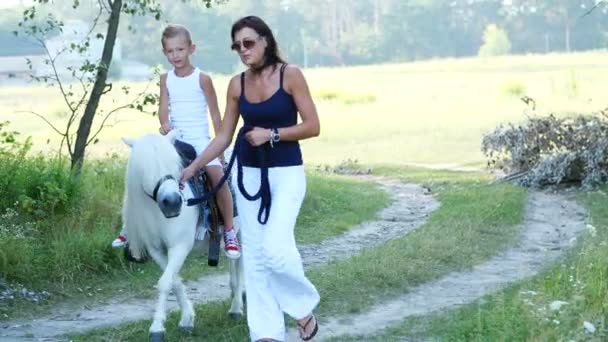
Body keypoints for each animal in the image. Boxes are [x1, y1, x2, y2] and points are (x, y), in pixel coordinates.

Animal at [121, 130, 245, 340]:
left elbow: (165, 283)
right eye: (145, 168)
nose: (172, 202)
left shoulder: (180, 246)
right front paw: (187, 319)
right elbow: (174, 281)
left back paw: (237, 307)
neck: (157, 213)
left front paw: (156, 328)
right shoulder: (156, 250)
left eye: (175, 164)